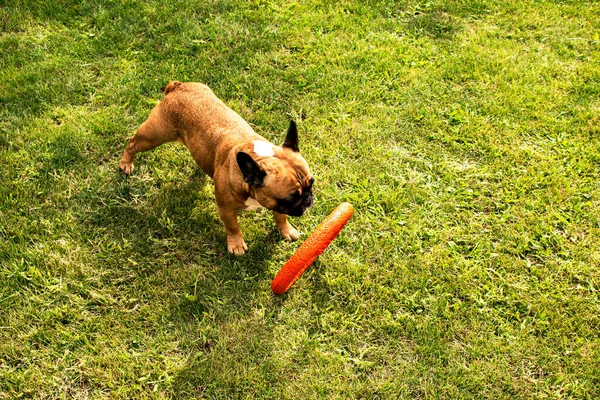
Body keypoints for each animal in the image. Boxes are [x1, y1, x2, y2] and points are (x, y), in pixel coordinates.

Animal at [116, 81, 314, 255]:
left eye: (312, 183)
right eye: (291, 198)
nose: (309, 199)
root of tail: (177, 86)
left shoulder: (276, 205)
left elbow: (281, 216)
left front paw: (286, 230)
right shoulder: (226, 208)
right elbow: (233, 227)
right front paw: (236, 245)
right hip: (154, 135)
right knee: (133, 143)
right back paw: (126, 163)